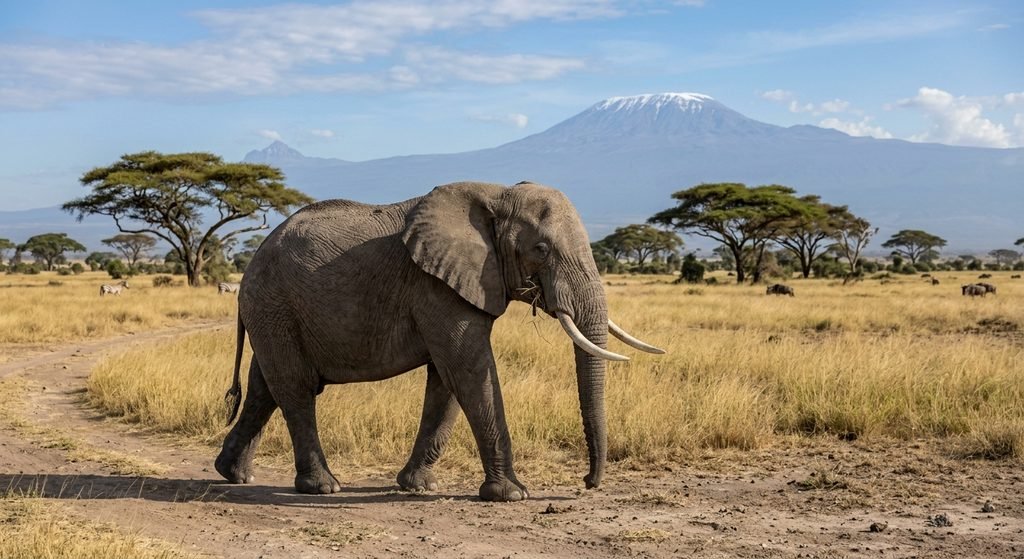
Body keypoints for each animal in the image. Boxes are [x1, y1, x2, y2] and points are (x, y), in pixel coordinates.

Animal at [214, 181, 664, 502]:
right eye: (541, 248)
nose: (587, 482)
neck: (496, 194)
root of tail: (251, 264)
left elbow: (447, 380)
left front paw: (418, 487)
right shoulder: (436, 286)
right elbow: (468, 369)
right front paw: (511, 495)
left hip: (274, 312)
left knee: (264, 387)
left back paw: (234, 474)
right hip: (273, 304)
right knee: (296, 388)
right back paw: (323, 487)